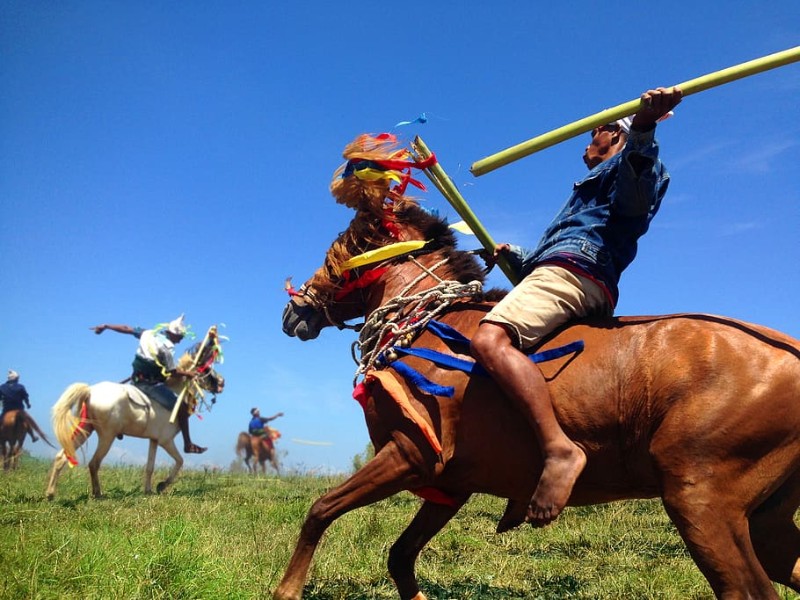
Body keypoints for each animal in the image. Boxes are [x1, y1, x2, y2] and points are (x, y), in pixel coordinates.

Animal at [45, 332, 223, 502]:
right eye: (206, 369)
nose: (222, 383)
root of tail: (90, 390)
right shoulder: (166, 441)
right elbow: (180, 461)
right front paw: (162, 485)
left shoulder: (154, 440)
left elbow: (150, 467)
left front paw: (148, 490)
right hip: (107, 436)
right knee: (94, 463)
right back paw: (98, 494)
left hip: (86, 429)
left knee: (62, 456)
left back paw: (50, 494)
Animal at [280, 198, 800, 600]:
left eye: (335, 259)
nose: (292, 311)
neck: (433, 321)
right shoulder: (450, 482)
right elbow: (400, 555)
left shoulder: (409, 453)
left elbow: (321, 510)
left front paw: (286, 589)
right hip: (764, 520)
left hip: (701, 499)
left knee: (747, 589)